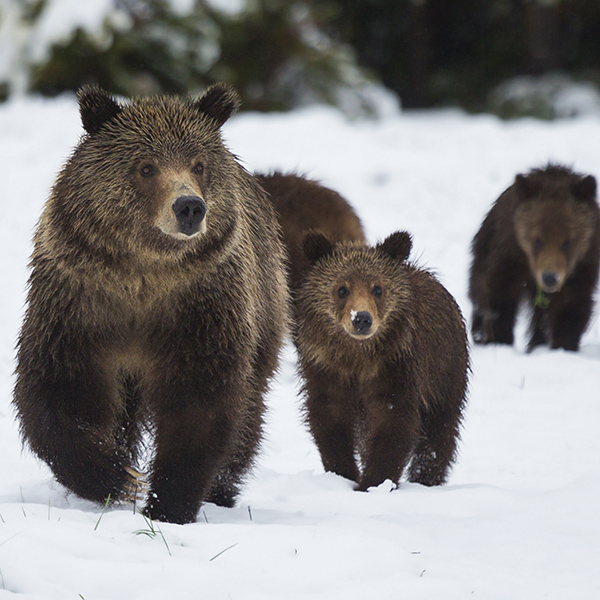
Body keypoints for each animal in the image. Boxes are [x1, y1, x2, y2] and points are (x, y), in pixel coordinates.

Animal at [11, 84, 288, 524]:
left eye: (198, 164)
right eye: (145, 167)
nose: (189, 207)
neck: (143, 275)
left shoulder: (199, 307)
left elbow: (200, 402)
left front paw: (168, 502)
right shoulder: (79, 303)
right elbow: (61, 390)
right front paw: (115, 476)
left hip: (265, 303)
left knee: (249, 407)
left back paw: (223, 488)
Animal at [296, 232, 468, 490]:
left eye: (377, 288)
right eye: (342, 289)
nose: (361, 319)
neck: (358, 357)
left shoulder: (395, 367)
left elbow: (393, 423)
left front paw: (373, 483)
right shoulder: (326, 368)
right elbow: (330, 420)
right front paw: (343, 474)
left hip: (445, 370)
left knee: (441, 428)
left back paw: (426, 477)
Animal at [468, 164, 600, 352]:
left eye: (567, 243)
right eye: (537, 240)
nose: (550, 278)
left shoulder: (582, 266)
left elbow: (571, 307)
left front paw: (563, 344)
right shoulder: (507, 256)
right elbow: (498, 296)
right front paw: (498, 338)